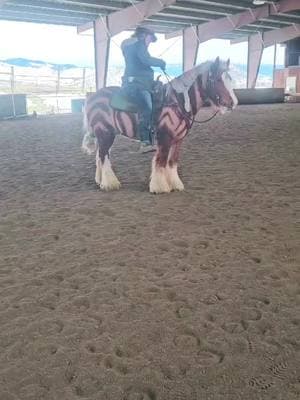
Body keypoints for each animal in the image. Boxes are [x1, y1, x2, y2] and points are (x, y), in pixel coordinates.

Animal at [81, 56, 237, 194]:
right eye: (218, 79)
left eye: (230, 79)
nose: (232, 103)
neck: (178, 102)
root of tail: (92, 97)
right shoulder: (164, 137)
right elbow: (160, 162)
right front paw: (160, 187)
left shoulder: (178, 140)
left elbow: (172, 162)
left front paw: (175, 184)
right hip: (105, 133)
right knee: (103, 156)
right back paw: (109, 184)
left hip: (104, 135)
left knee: (100, 156)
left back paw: (100, 181)